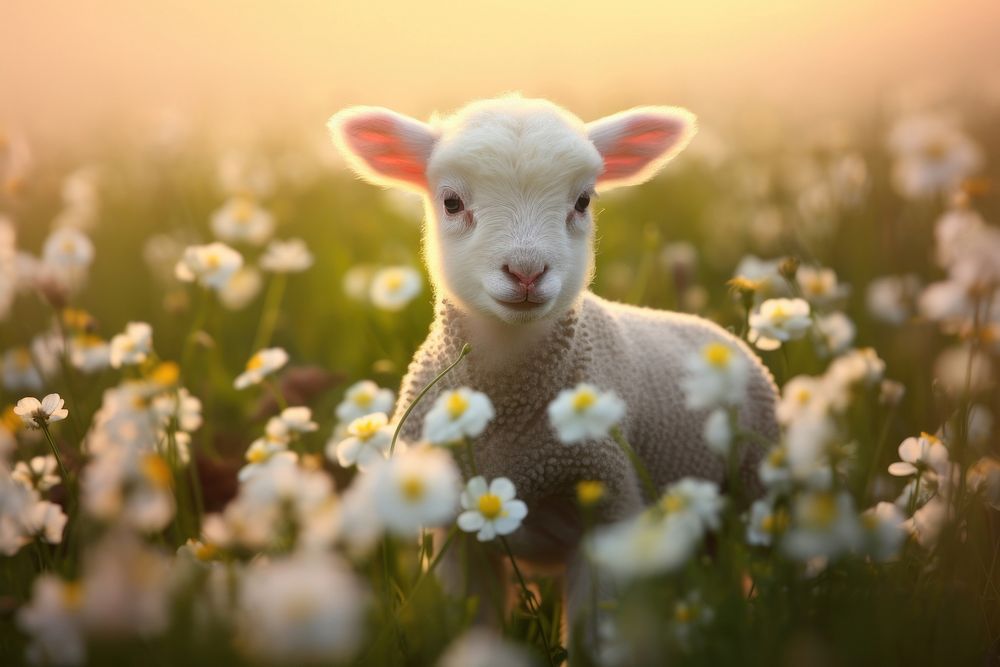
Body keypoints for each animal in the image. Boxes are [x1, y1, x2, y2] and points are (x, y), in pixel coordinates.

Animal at [324, 92, 776, 640]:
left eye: (583, 201)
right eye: (451, 202)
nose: (526, 271)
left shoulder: (609, 507)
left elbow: (593, 637)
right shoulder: (452, 531)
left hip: (756, 486)